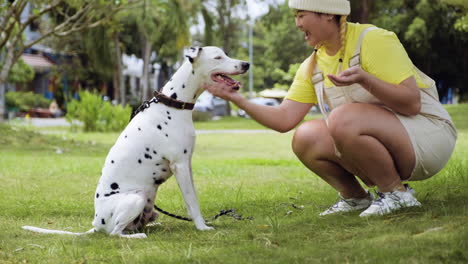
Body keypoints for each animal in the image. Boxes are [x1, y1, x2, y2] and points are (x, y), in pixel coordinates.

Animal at [22, 46, 249, 238]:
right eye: (218, 57)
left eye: (226, 53)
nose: (246, 64)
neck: (172, 105)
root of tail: (96, 224)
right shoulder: (180, 165)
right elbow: (192, 202)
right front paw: (202, 227)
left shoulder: (187, 165)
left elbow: (193, 197)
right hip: (135, 199)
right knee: (115, 233)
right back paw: (137, 236)